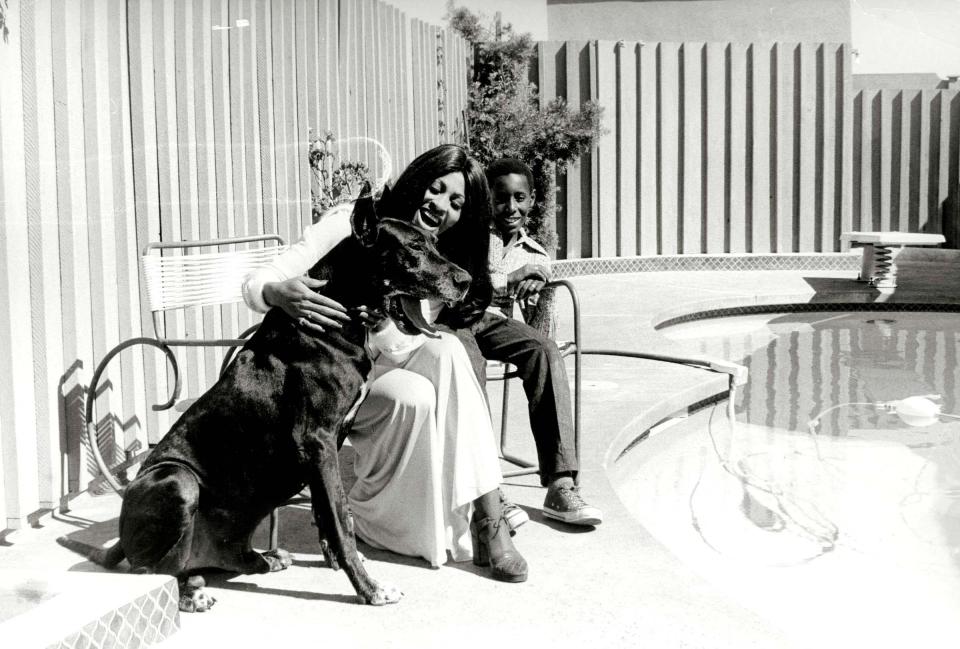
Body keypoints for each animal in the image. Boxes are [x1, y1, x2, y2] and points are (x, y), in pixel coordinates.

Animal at [58, 196, 470, 608]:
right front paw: (370, 588)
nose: (466, 281)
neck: (339, 309)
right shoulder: (318, 441)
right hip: (178, 479)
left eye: (434, 243)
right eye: (413, 248)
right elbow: (341, 518)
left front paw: (338, 562)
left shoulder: (325, 446)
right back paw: (188, 594)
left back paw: (260, 560)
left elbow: (327, 514)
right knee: (147, 572)